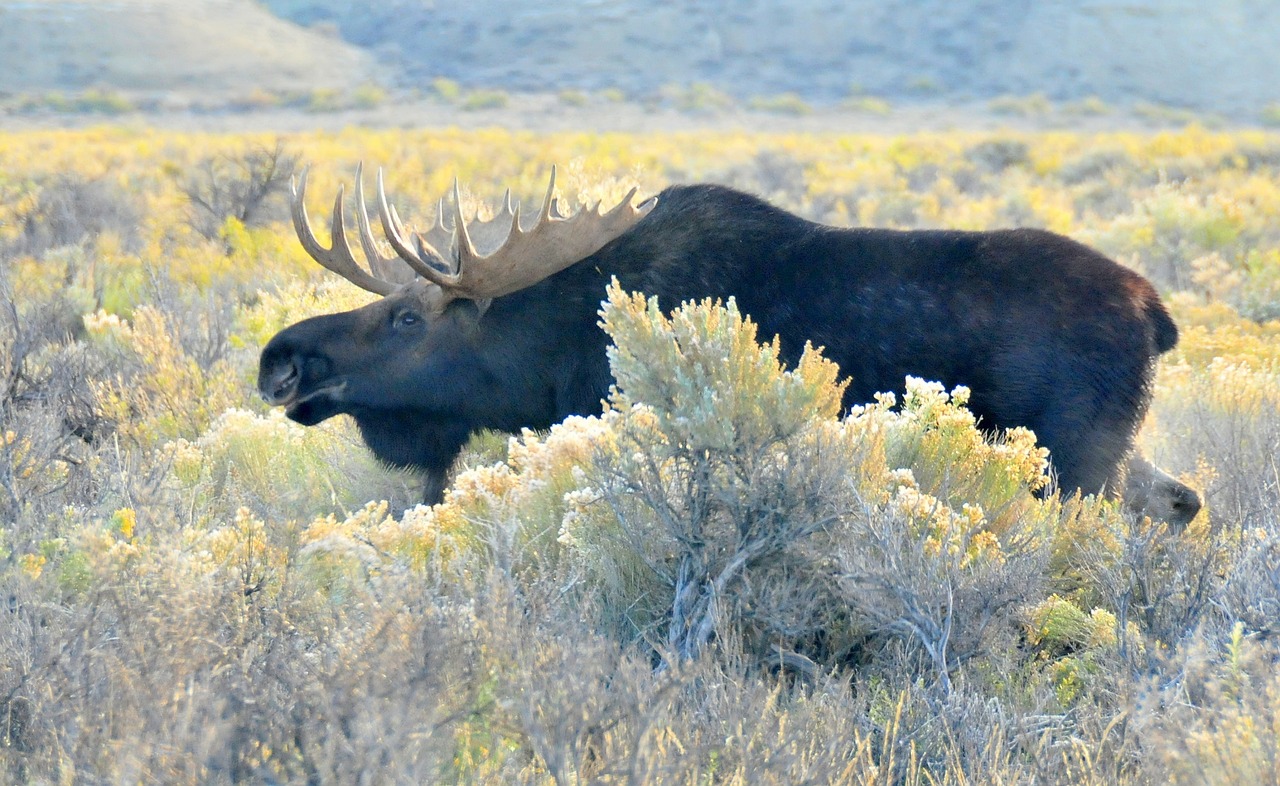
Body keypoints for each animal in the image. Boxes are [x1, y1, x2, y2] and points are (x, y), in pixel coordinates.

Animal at [254, 165, 1192, 524]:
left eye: (409, 319)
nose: (282, 358)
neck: (548, 352)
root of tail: (1156, 312)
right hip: (1117, 447)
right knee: (1181, 502)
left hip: (1075, 457)